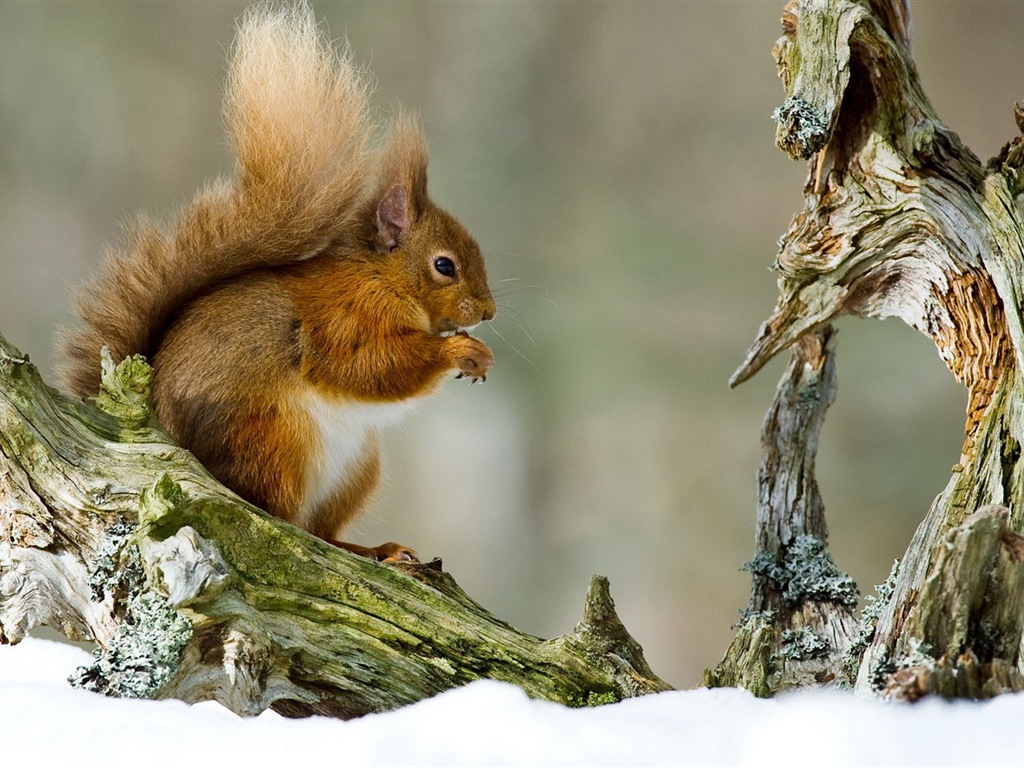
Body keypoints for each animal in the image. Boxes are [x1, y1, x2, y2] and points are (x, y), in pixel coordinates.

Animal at [56, 1, 495, 565]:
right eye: (445, 266)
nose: (487, 312)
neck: (380, 277)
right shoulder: (342, 317)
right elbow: (368, 366)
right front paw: (461, 351)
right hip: (275, 440)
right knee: (279, 516)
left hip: (357, 467)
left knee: (319, 528)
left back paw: (374, 549)